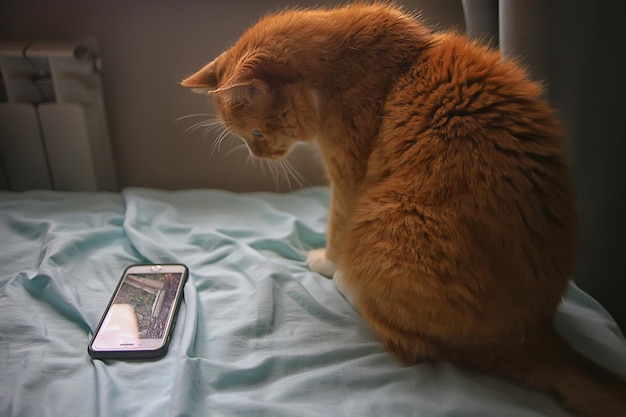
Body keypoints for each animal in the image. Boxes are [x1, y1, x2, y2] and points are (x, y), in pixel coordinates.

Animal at [180, 1, 624, 414]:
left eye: (255, 134)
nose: (258, 156)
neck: (345, 64)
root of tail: (534, 335)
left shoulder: (348, 176)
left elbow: (336, 226)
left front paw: (325, 260)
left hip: (387, 219)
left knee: (414, 343)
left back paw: (348, 280)